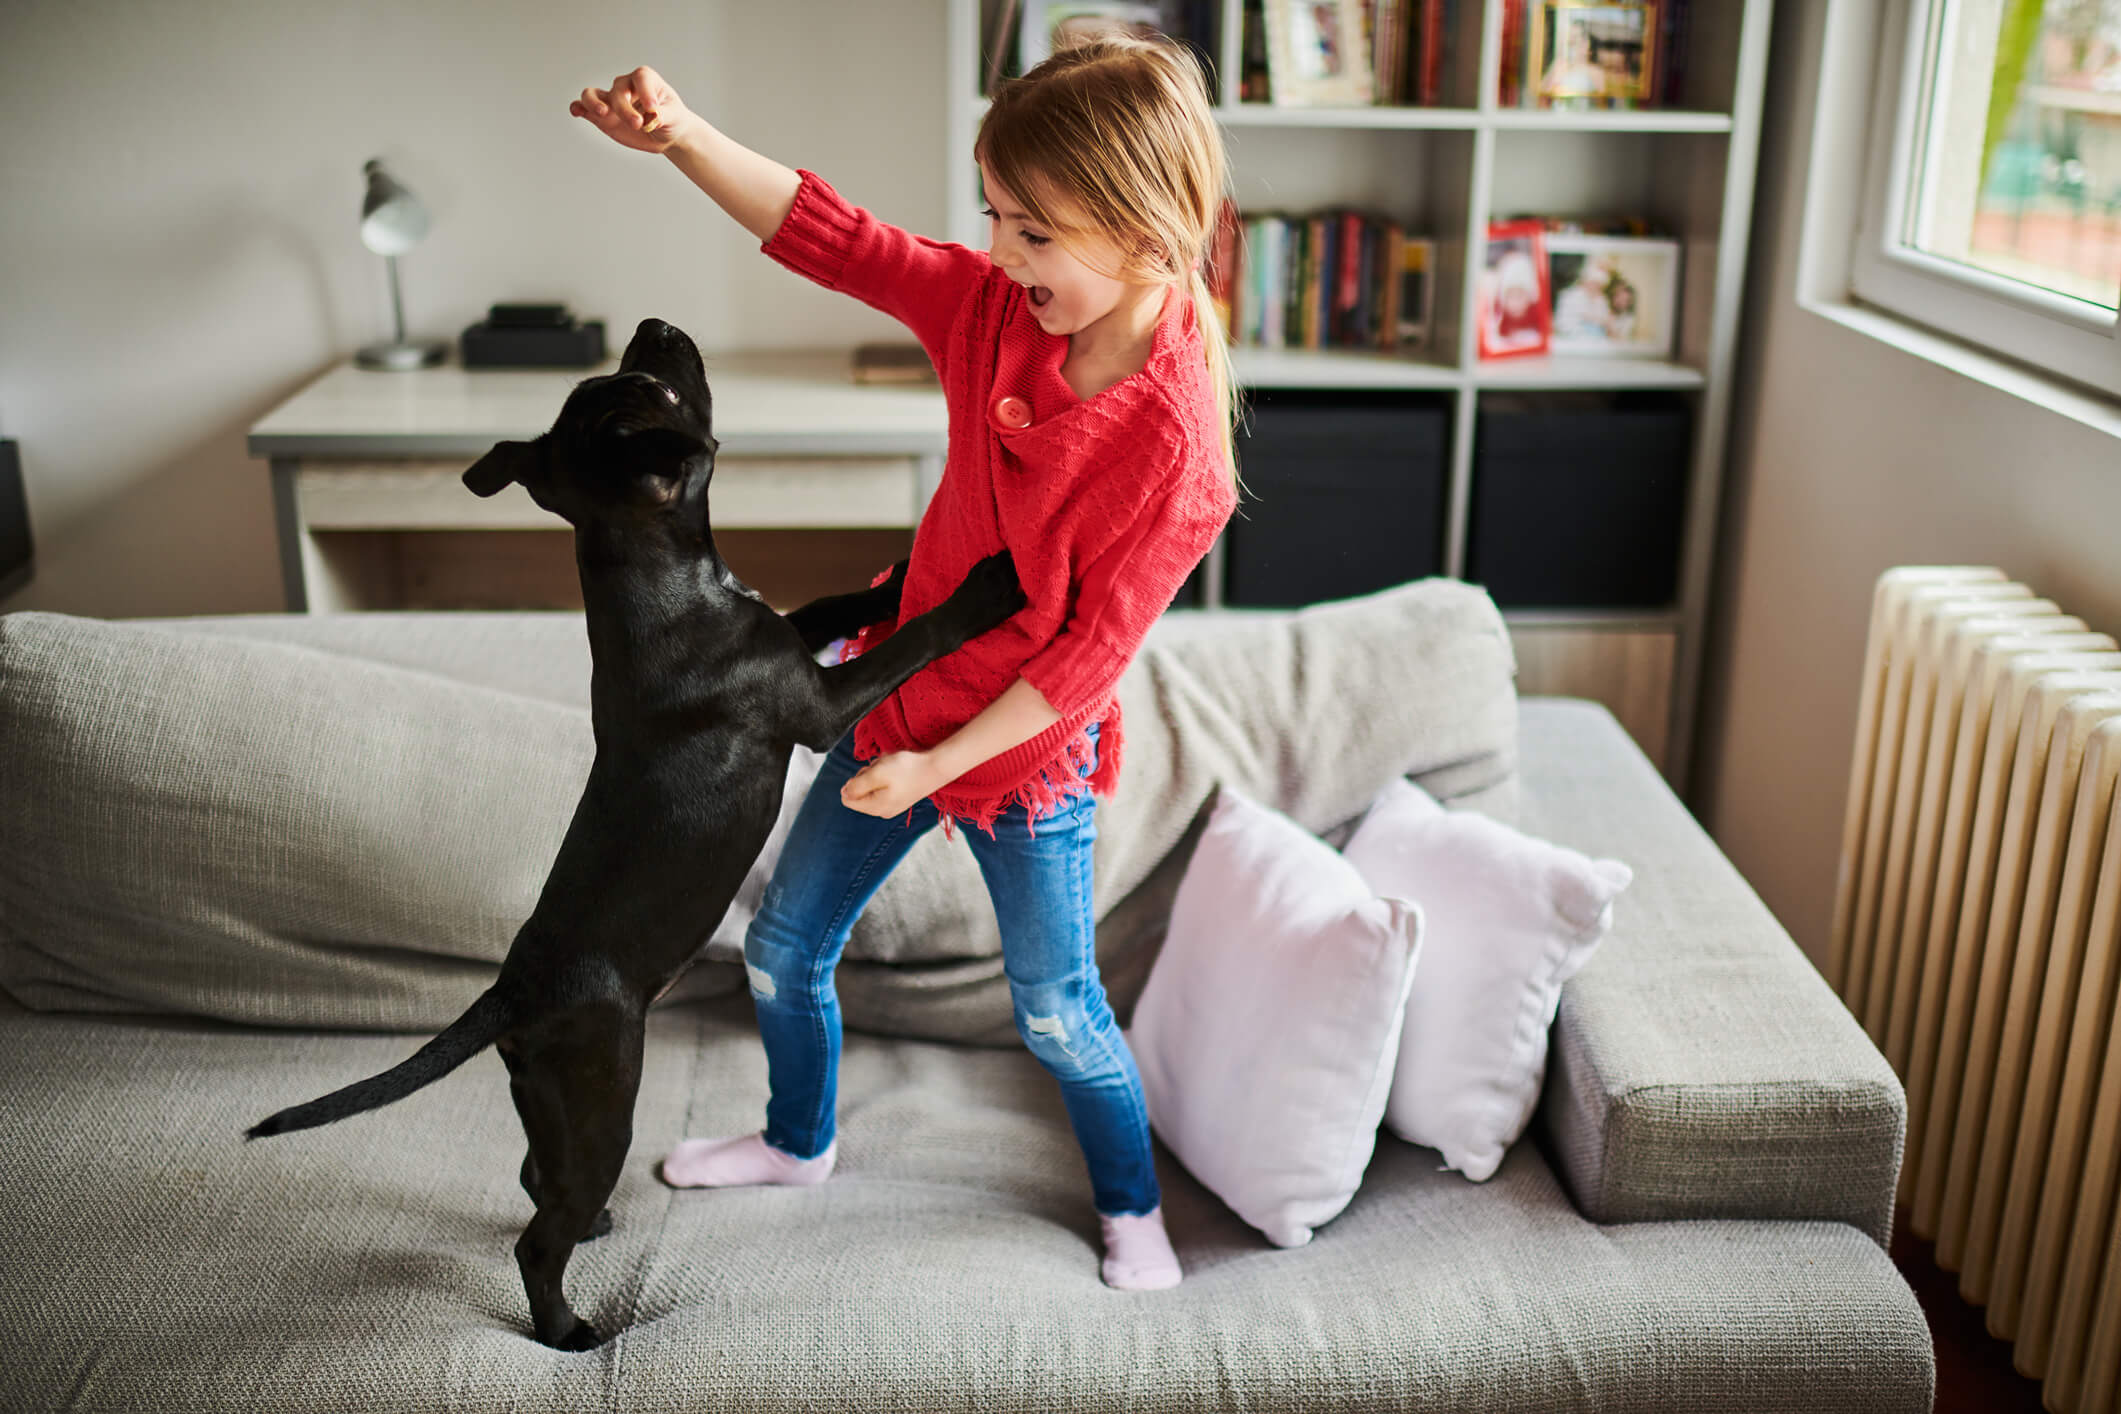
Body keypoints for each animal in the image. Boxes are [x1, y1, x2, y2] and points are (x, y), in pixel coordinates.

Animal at [248, 317, 1026, 1348]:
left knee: (538, 1179)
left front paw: (893, 573)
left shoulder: (792, 633)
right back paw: (566, 1329)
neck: (659, 579)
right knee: (538, 1236)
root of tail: (513, 992)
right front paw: (982, 589)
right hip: (602, 1103)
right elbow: (914, 639)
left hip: (550, 1105)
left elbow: (838, 609)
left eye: (623, 379)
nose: (657, 327)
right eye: (651, 389)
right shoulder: (819, 707)